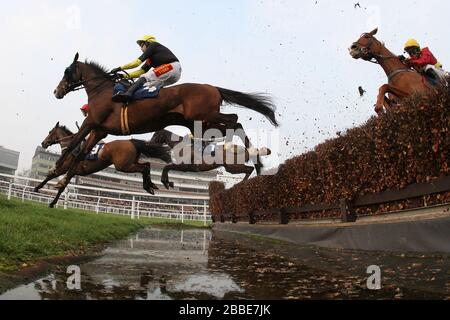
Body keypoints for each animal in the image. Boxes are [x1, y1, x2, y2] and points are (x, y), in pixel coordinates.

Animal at [35, 122, 171, 208]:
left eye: (50, 132)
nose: (43, 143)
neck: (72, 148)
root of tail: (131, 142)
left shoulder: (66, 168)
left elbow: (54, 178)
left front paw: (41, 192)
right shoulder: (72, 171)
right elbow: (59, 182)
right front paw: (46, 196)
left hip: (122, 166)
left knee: (144, 167)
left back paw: (148, 187)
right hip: (131, 162)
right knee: (147, 164)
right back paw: (151, 185)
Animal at [51, 53, 278, 208]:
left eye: (67, 71)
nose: (57, 91)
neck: (103, 92)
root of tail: (213, 88)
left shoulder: (91, 123)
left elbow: (73, 146)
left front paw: (55, 171)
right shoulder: (99, 130)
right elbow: (79, 154)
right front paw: (57, 190)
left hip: (204, 116)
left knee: (235, 121)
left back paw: (254, 159)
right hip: (201, 122)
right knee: (234, 125)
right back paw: (255, 161)